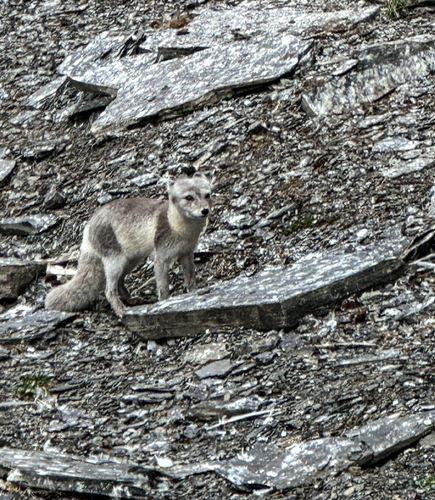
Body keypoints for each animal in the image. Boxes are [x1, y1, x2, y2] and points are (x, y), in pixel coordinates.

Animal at [46, 174, 213, 316]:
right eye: (189, 197)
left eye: (207, 195)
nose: (205, 210)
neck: (181, 230)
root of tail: (88, 226)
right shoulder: (161, 259)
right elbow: (163, 289)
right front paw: (164, 305)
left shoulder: (187, 253)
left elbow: (191, 280)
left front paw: (193, 296)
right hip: (116, 263)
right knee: (109, 291)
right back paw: (121, 311)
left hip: (130, 262)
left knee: (119, 283)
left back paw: (131, 300)